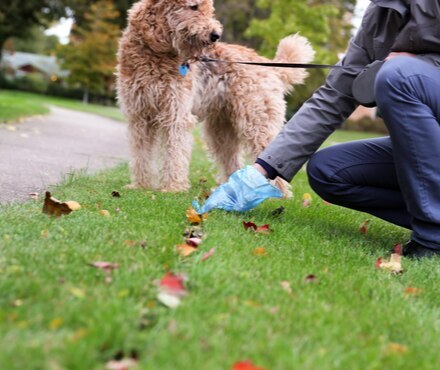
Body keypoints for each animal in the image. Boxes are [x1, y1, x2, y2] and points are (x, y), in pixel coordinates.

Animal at [115, 0, 314, 195]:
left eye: (209, 10)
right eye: (193, 7)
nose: (215, 35)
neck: (154, 50)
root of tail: (271, 66)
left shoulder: (176, 115)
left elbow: (175, 153)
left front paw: (173, 187)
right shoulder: (139, 116)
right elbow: (141, 154)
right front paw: (140, 185)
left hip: (257, 120)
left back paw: (278, 194)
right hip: (221, 129)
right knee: (232, 160)